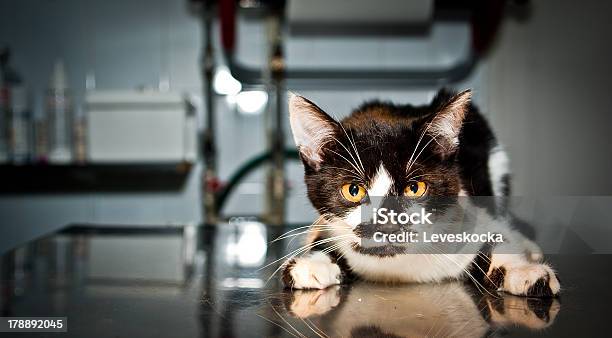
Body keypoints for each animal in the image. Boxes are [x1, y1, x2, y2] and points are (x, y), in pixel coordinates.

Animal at [280, 88, 560, 298]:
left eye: (415, 188)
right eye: (353, 190)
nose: (388, 226)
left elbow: (496, 236)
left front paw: (526, 272)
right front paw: (313, 262)